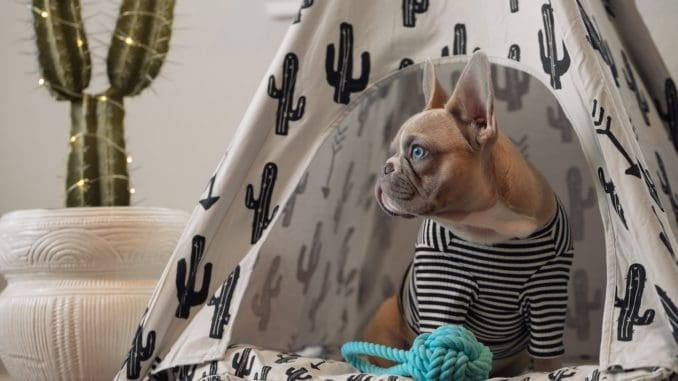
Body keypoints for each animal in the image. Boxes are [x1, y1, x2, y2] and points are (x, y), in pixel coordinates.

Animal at [366, 49, 572, 374]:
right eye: (393, 151)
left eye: (418, 152)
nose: (386, 167)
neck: (489, 225)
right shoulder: (442, 288)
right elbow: (441, 340)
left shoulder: (547, 292)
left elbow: (547, 353)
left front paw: (547, 372)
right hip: (387, 316)